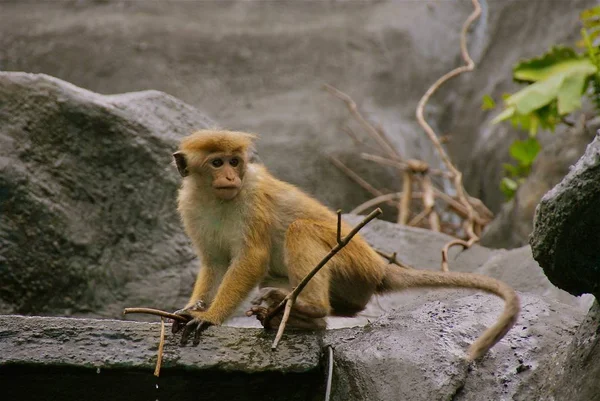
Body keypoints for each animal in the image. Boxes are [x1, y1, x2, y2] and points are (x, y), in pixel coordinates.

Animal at [171, 129, 516, 360]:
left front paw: (210, 317)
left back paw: (309, 308)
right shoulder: (190, 205)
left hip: (351, 262)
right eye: (217, 163)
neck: (217, 199)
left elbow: (251, 259)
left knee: (300, 230)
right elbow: (214, 263)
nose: (230, 177)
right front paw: (191, 309)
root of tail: (379, 267)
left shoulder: (252, 198)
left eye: (234, 161)